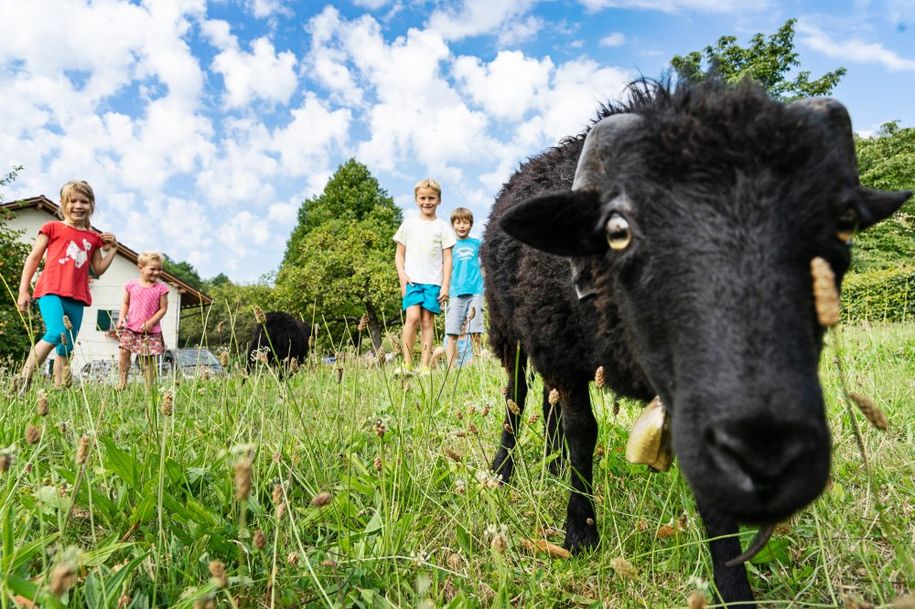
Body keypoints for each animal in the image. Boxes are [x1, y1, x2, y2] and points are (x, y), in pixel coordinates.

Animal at [484, 77, 912, 604]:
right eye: (618, 229)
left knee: (547, 401)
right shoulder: (562, 346)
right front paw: (580, 533)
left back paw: (552, 466)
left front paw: (734, 589)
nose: (770, 447)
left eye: (844, 221)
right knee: (518, 396)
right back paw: (504, 471)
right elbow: (583, 431)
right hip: (511, 331)